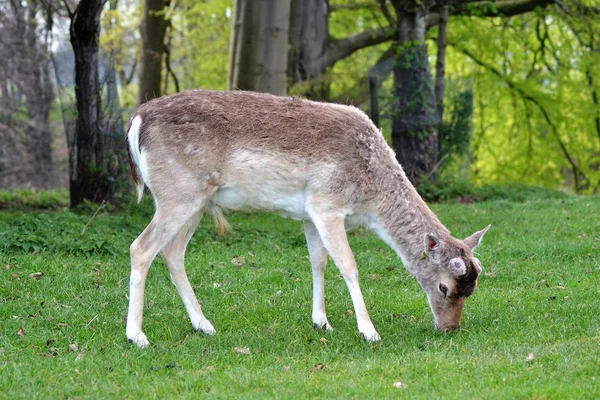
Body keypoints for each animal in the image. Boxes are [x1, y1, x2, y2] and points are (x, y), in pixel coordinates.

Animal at [124, 88, 490, 346]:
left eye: (471, 289)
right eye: (444, 286)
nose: (450, 328)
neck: (369, 198)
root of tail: (135, 121)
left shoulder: (309, 215)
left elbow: (318, 261)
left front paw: (321, 321)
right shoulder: (326, 203)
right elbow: (348, 265)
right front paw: (368, 331)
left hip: (197, 201)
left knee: (173, 253)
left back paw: (204, 325)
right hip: (178, 193)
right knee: (141, 247)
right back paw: (137, 336)